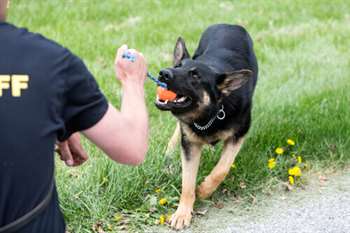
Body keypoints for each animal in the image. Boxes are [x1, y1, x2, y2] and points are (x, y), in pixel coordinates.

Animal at [155, 24, 258, 229]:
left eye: (195, 75)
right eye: (177, 66)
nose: (164, 73)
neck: (212, 112)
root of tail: (229, 24)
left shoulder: (238, 135)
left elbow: (221, 170)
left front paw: (203, 190)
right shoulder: (190, 145)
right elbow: (187, 182)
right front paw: (182, 213)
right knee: (178, 130)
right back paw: (169, 153)